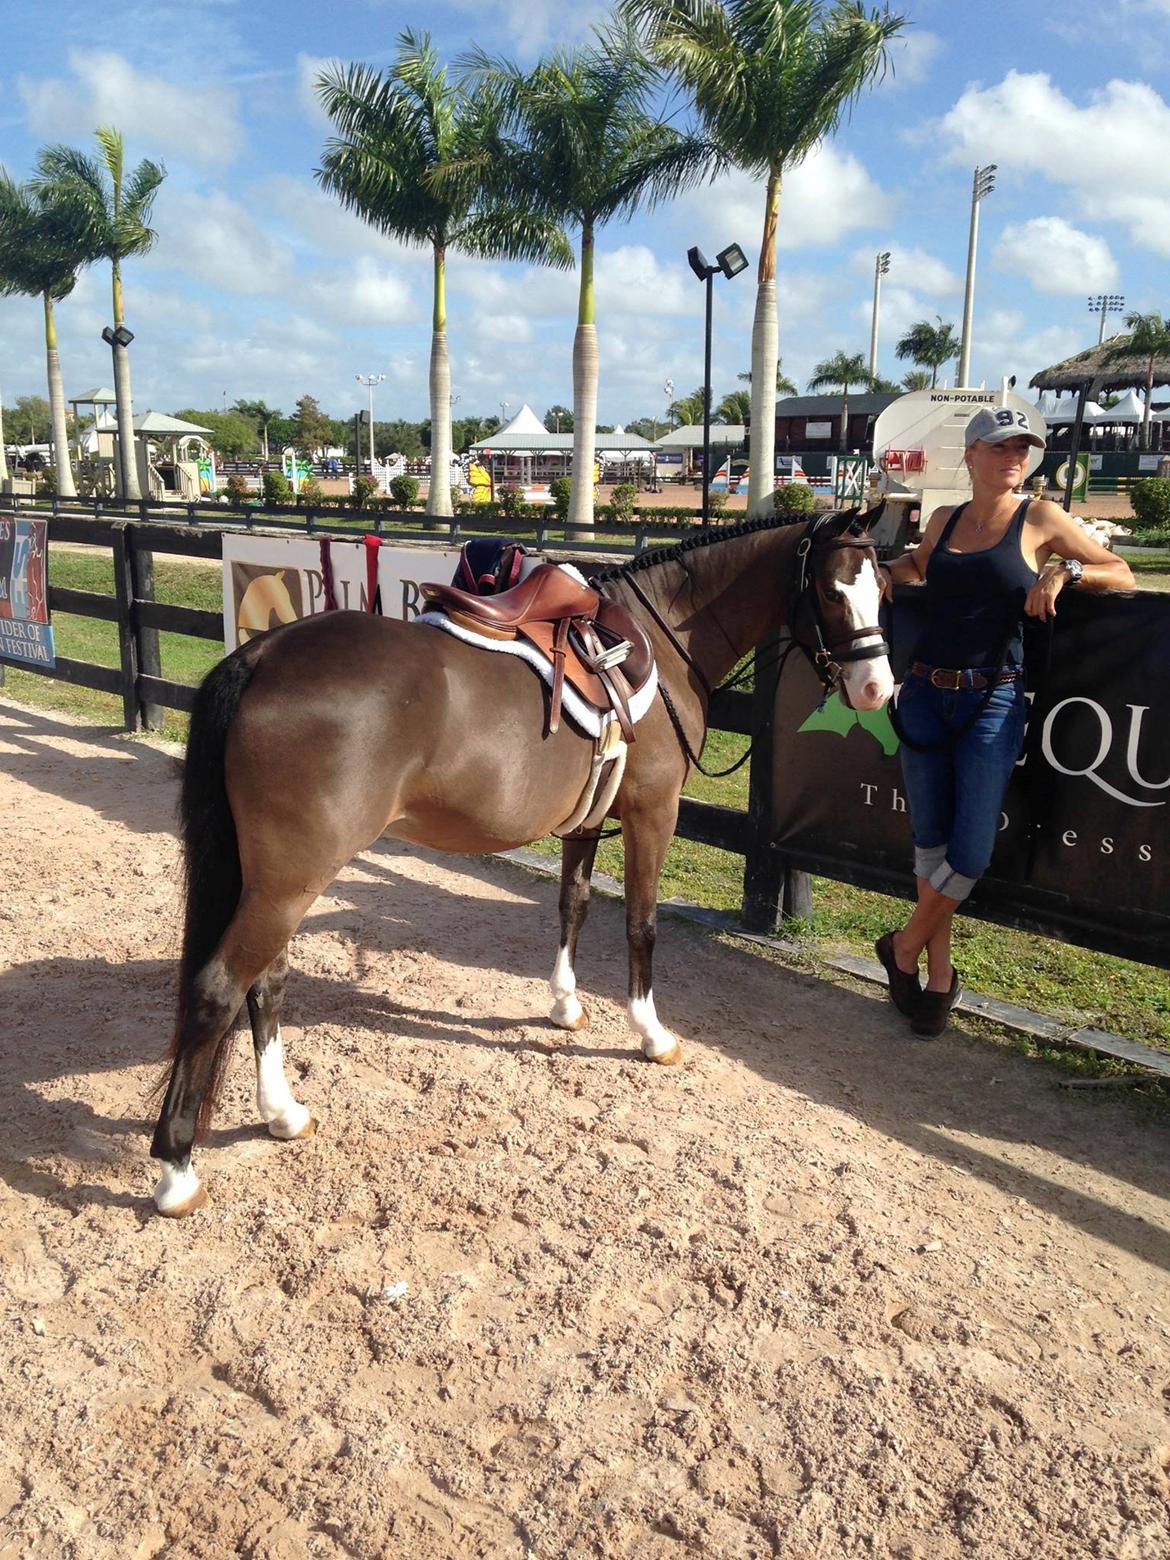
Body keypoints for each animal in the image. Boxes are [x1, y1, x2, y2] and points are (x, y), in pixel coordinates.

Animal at [150, 508, 893, 1215]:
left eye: (882, 589)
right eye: (832, 592)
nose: (877, 688)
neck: (664, 633)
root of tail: (263, 655)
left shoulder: (587, 820)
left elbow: (574, 905)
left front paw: (565, 1005)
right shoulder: (654, 813)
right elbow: (642, 926)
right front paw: (651, 1034)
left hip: (277, 883)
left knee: (266, 983)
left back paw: (281, 1113)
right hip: (289, 881)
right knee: (219, 989)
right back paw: (177, 1170)